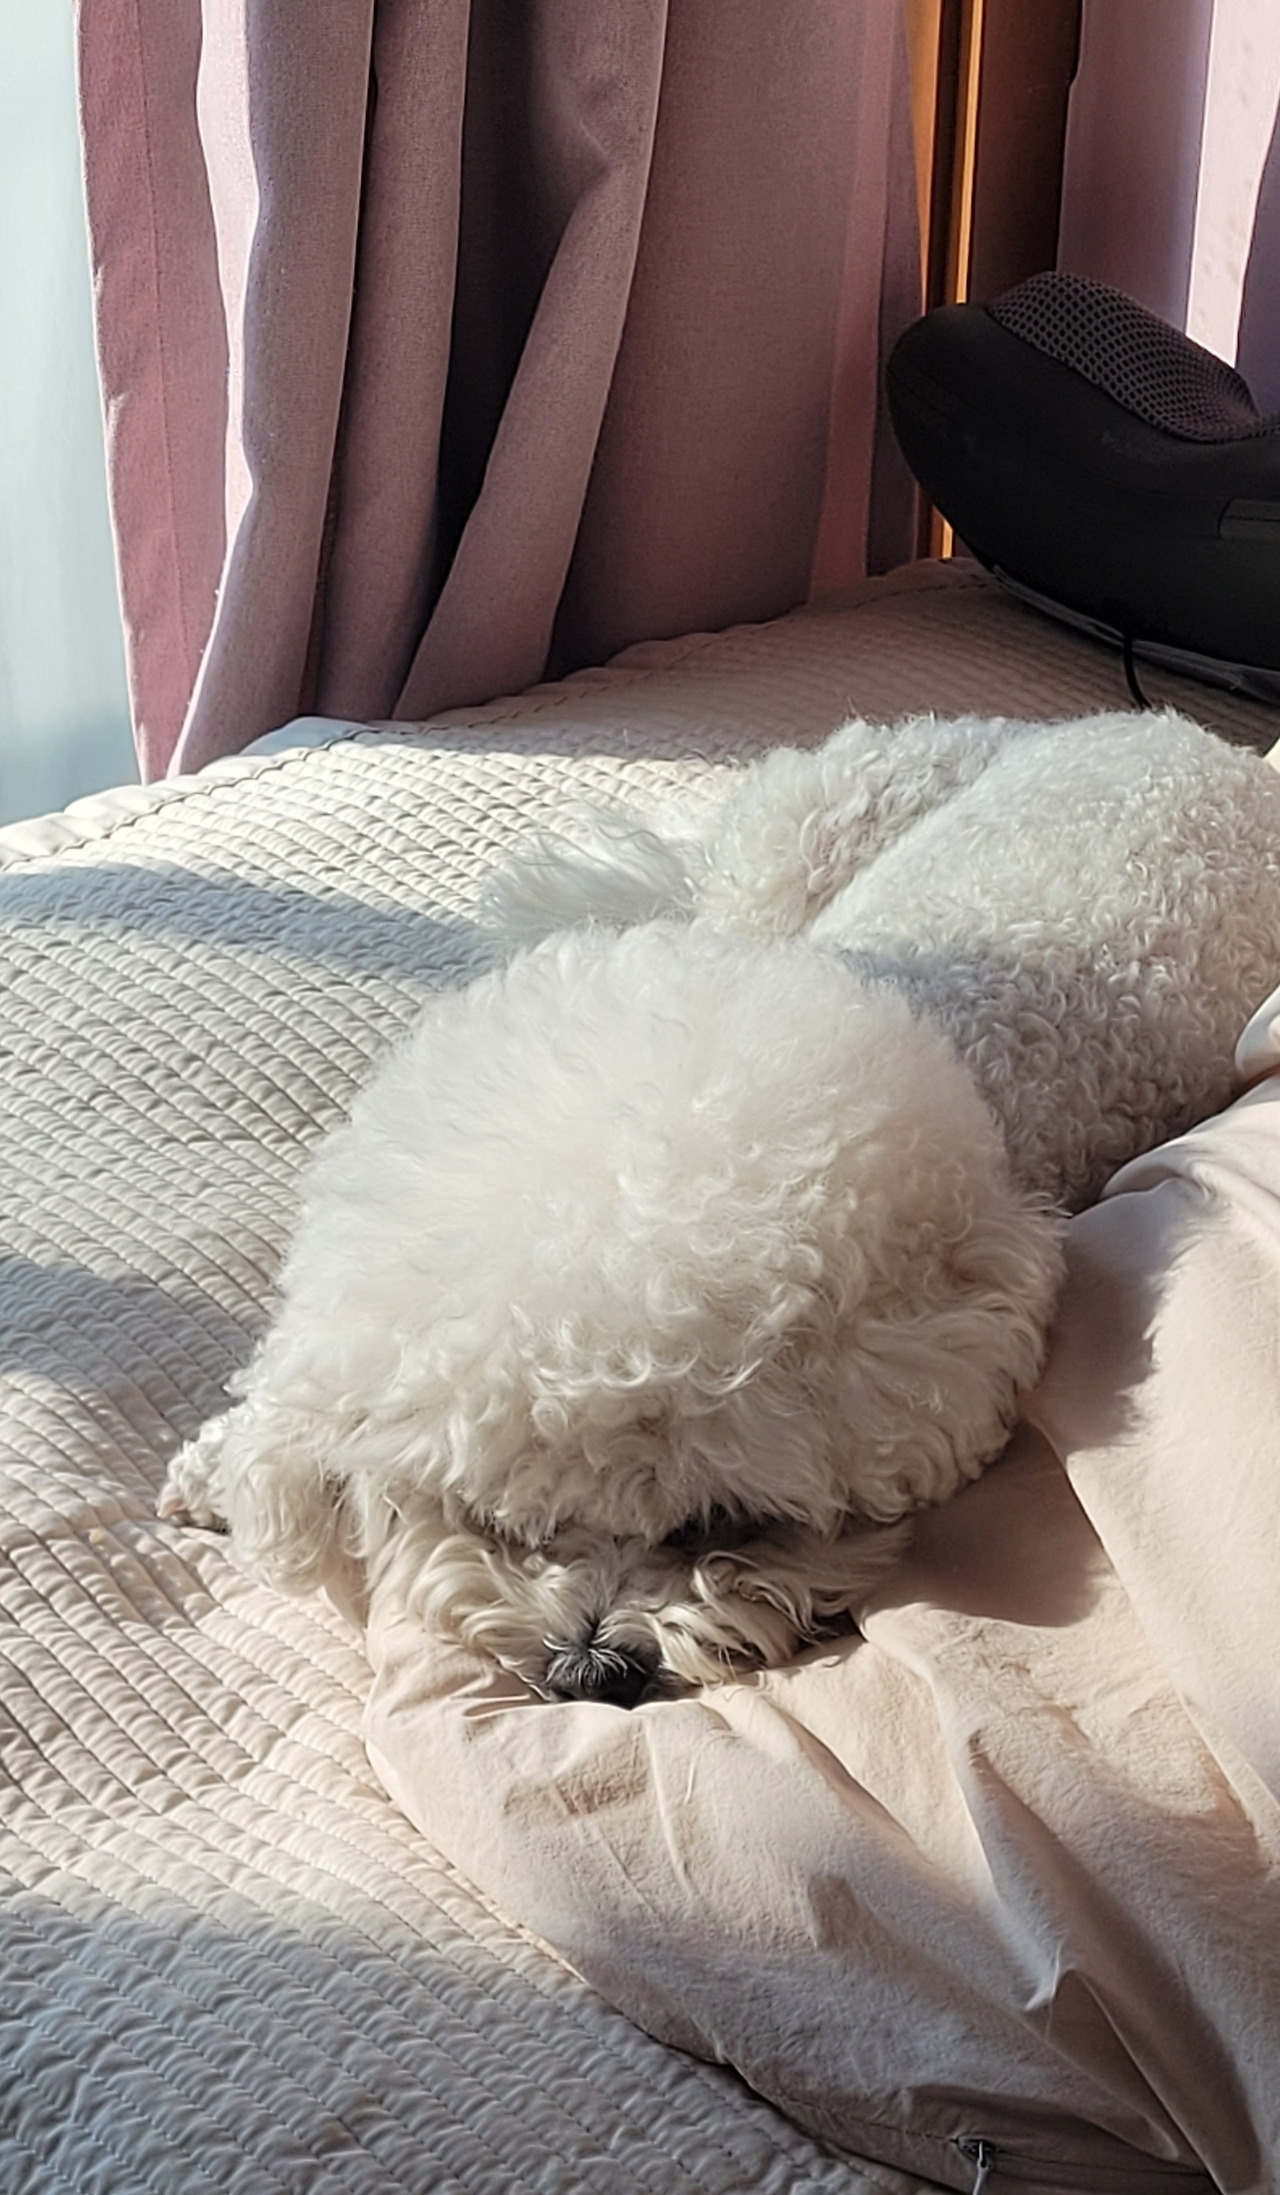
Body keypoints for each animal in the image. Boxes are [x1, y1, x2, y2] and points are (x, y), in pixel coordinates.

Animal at [160, 708, 1280, 1706]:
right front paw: (221, 1467)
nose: (594, 1669)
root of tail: (1201, 741)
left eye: (718, 1522)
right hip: (800, 837)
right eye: (503, 1521)